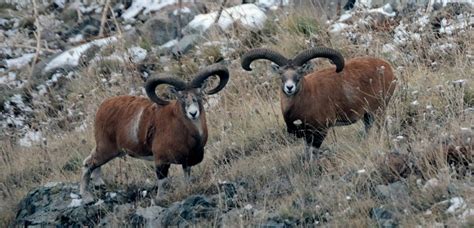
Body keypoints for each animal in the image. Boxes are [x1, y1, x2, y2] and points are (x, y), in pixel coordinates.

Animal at [80, 63, 230, 200]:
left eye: (199, 95)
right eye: (181, 97)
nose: (193, 113)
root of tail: (102, 107)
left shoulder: (187, 162)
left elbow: (187, 176)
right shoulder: (161, 162)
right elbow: (162, 182)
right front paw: (160, 199)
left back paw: (99, 184)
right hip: (107, 150)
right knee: (88, 164)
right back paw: (86, 197)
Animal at [243, 46, 394, 160]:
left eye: (299, 72)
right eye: (281, 74)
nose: (289, 87)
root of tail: (387, 68)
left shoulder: (320, 131)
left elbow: (314, 153)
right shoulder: (306, 135)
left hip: (378, 109)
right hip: (367, 115)